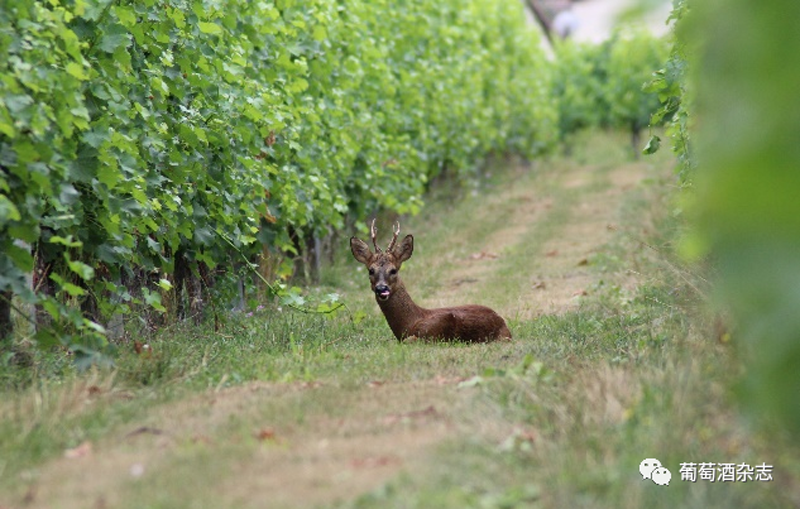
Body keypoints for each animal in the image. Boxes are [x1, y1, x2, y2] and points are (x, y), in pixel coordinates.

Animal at [350, 219, 512, 342]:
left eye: (393, 270)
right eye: (371, 270)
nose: (381, 289)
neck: (410, 322)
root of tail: (504, 323)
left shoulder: (431, 333)